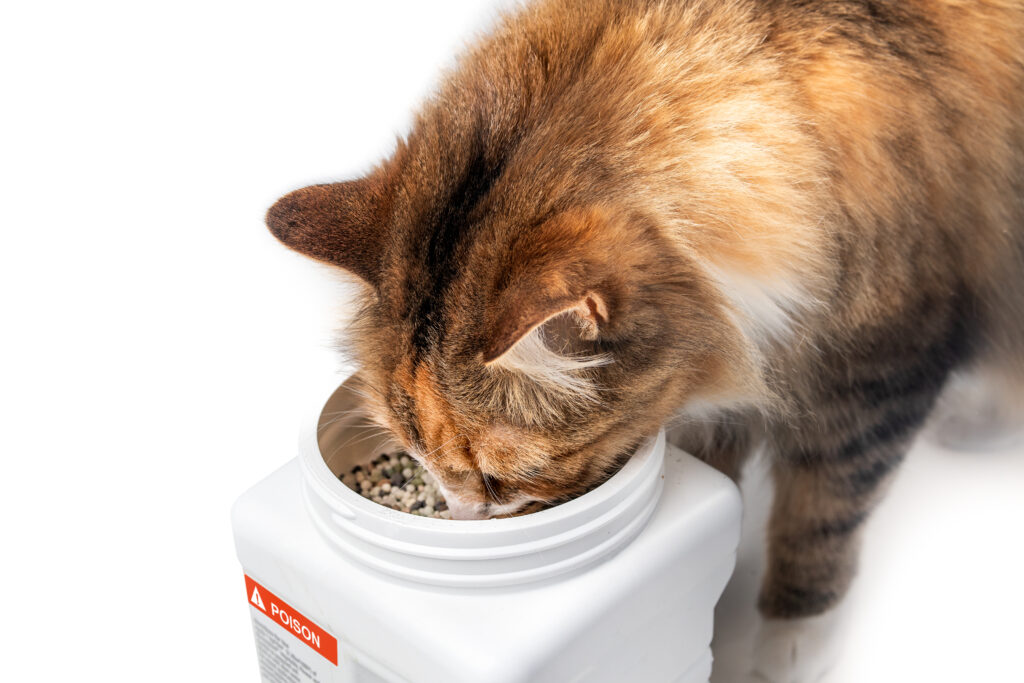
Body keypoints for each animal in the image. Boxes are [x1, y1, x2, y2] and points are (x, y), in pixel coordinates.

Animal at [266, 0, 1024, 679]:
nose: (461, 518)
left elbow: (820, 514)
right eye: (415, 456)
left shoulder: (883, 362)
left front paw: (788, 648)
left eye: (498, 478)